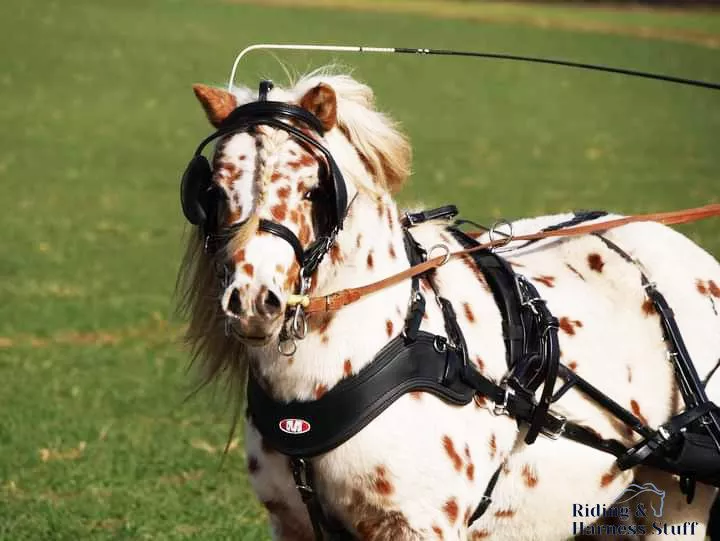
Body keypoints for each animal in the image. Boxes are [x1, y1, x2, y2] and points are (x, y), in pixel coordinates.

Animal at [177, 71, 720, 540]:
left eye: (314, 191)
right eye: (215, 191)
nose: (253, 300)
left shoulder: (422, 525)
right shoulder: (292, 523)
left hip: (677, 510)